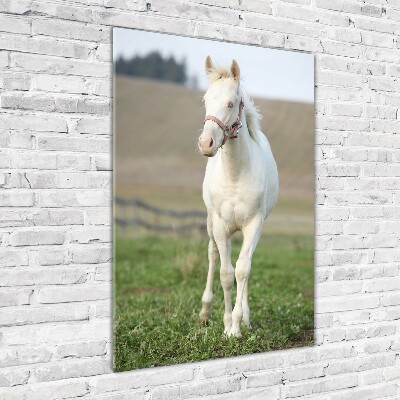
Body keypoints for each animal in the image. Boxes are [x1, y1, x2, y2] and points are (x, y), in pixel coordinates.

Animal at [197, 56, 278, 338]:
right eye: (205, 100)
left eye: (231, 103)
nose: (206, 144)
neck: (235, 175)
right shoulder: (221, 226)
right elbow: (225, 273)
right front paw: (225, 324)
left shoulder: (253, 225)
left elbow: (243, 270)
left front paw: (237, 325)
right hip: (212, 223)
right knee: (213, 256)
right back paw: (205, 313)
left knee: (245, 264)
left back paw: (245, 319)